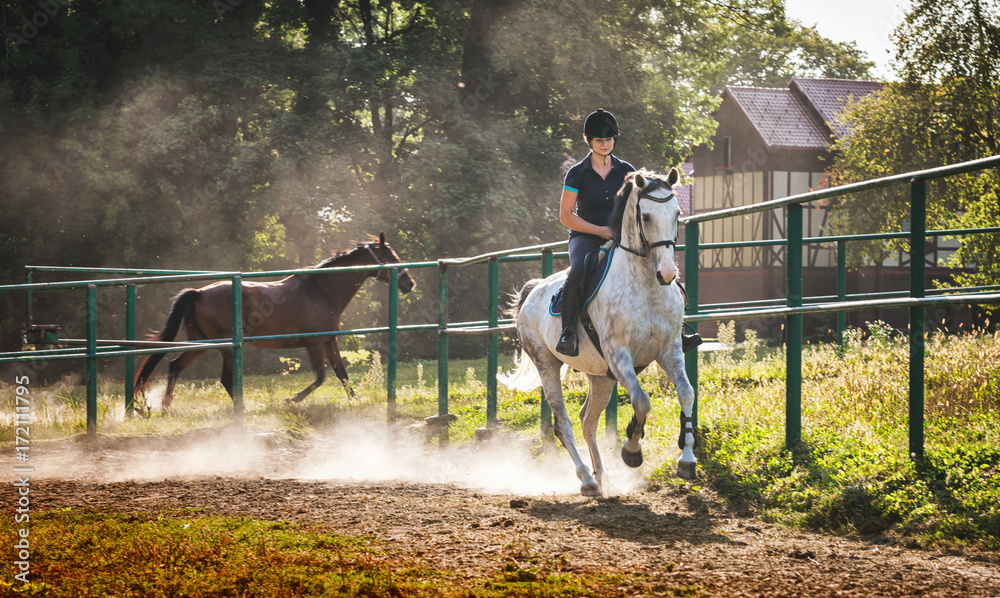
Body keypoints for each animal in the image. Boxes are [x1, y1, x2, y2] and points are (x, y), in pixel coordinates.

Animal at [134, 232, 414, 410]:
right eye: (391, 257)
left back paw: (167, 407)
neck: (321, 291)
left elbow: (341, 374)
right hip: (224, 346)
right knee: (223, 378)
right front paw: (290, 400)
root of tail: (199, 293)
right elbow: (321, 377)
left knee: (175, 365)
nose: (409, 283)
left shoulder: (328, 340)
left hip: (203, 342)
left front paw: (355, 401)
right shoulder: (313, 343)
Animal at [504, 168, 700, 496]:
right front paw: (632, 450)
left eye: (677, 214)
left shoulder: (669, 349)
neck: (646, 286)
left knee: (587, 421)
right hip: (547, 364)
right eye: (645, 216)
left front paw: (686, 460)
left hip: (600, 377)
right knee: (563, 423)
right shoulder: (618, 354)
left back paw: (601, 476)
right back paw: (586, 478)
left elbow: (686, 393)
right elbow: (641, 400)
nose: (667, 274)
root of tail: (533, 291)